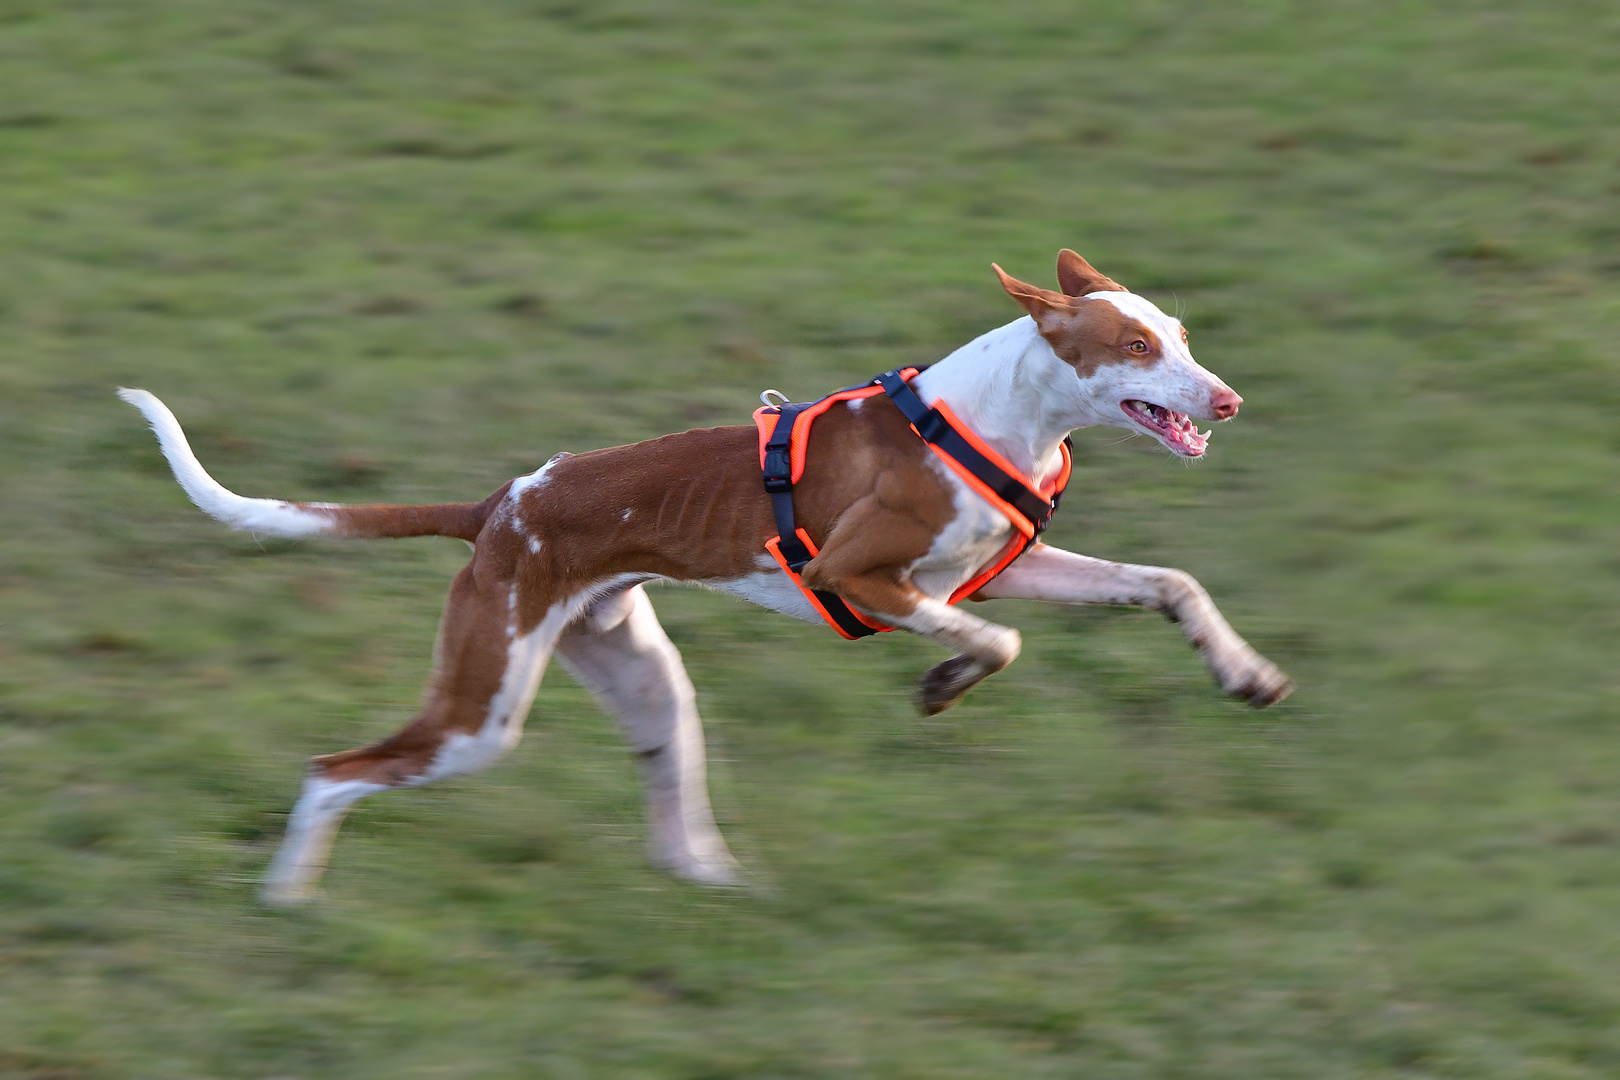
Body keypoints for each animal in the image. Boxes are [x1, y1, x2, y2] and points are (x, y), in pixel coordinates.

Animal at [117, 250, 1289, 906]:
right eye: (1135, 346)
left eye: (1180, 335)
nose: (1228, 400)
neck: (1001, 417)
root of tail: (502, 502)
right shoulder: (872, 578)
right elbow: (995, 644)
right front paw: (940, 687)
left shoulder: (1000, 571)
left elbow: (1168, 581)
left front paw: (1245, 674)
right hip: (480, 714)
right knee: (332, 769)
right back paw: (286, 900)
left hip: (640, 680)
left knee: (675, 830)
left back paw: (727, 894)